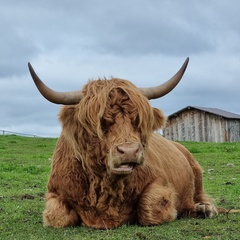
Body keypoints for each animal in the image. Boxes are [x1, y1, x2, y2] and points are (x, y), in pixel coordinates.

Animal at [27, 58, 218, 229]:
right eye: (100, 122)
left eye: (137, 120)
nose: (129, 151)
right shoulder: (55, 192)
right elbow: (58, 217)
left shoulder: (160, 182)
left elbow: (150, 208)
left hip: (197, 174)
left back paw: (204, 209)